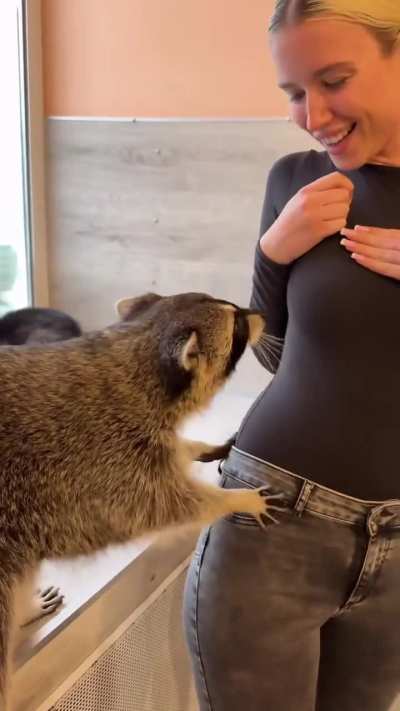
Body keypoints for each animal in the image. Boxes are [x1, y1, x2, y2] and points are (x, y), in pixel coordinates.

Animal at [0, 292, 281, 709]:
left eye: (236, 310)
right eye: (239, 327)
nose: (261, 313)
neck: (135, 348)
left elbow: (175, 454)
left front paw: (196, 448)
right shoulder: (101, 462)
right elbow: (164, 507)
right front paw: (235, 499)